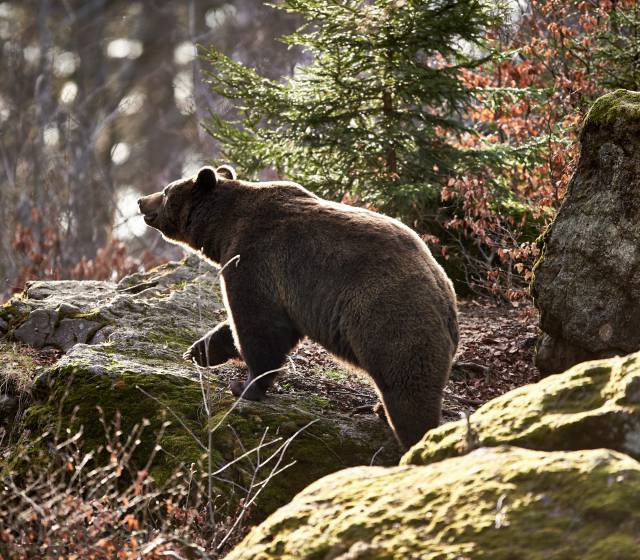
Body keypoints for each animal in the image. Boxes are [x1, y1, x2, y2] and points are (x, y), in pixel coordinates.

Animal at [139, 164, 460, 448]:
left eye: (166, 191)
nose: (142, 200)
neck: (225, 228)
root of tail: (446, 296)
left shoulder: (257, 260)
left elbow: (259, 328)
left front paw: (245, 386)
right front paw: (199, 349)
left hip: (390, 318)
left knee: (407, 388)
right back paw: (380, 410)